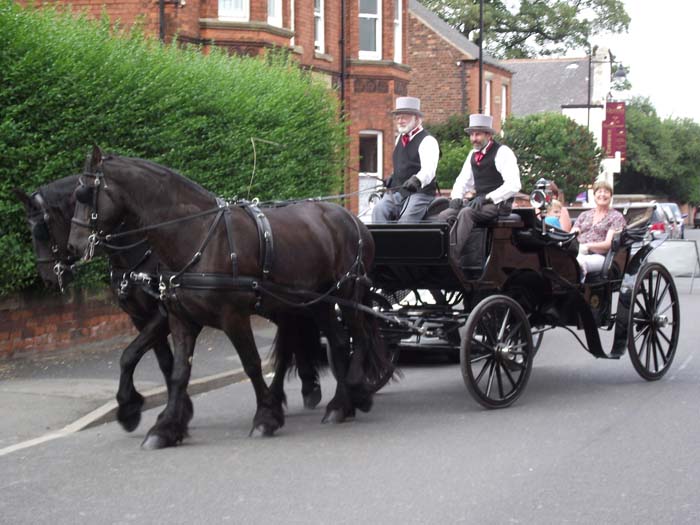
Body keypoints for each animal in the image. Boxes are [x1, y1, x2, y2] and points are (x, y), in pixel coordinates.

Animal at [67, 145, 388, 448]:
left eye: (85, 194)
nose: (73, 246)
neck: (197, 236)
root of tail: (351, 218)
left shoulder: (231, 316)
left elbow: (251, 363)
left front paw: (266, 418)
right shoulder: (180, 319)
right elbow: (176, 371)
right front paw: (165, 427)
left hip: (345, 292)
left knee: (356, 336)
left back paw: (354, 391)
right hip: (316, 301)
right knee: (336, 341)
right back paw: (340, 404)